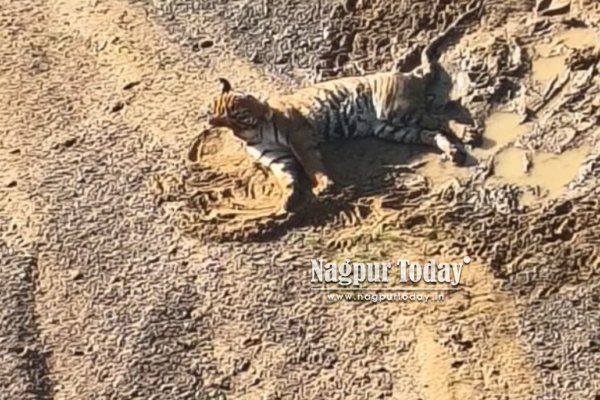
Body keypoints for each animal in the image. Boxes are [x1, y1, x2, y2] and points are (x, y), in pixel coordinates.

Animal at [199, 0, 483, 214]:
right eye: (240, 113)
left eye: (247, 100)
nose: (266, 109)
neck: (254, 131)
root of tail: (407, 74)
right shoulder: (276, 157)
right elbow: (286, 178)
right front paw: (288, 200)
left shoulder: (299, 135)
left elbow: (310, 163)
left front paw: (323, 185)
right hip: (391, 127)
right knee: (432, 132)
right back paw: (453, 151)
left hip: (396, 111)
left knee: (442, 119)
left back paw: (467, 134)